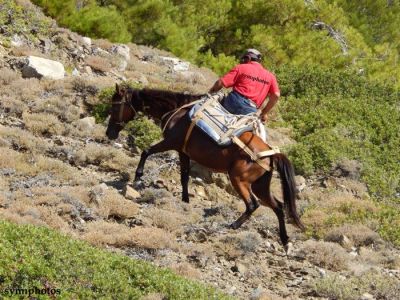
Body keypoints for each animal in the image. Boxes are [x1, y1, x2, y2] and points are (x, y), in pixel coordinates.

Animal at [105, 84, 304, 248]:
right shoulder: (183, 152)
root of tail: (270, 154)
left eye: (115, 105)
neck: (177, 111)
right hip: (260, 185)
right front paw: (185, 200)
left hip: (239, 179)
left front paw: (138, 176)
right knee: (278, 206)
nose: (109, 133)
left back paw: (233, 225)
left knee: (252, 204)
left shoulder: (171, 143)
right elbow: (184, 175)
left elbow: (146, 151)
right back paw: (285, 240)